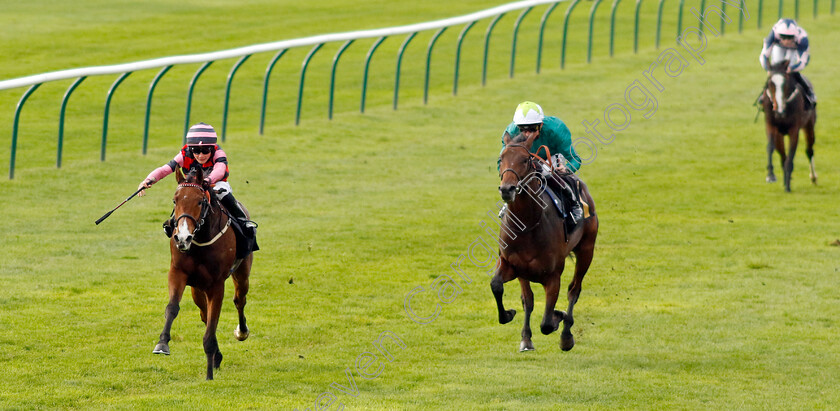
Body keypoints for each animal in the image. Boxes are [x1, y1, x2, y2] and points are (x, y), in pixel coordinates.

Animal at [153, 167, 253, 380]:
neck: (199, 240)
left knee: (239, 300)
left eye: (200, 201)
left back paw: (241, 332)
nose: (182, 237)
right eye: (175, 200)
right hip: (197, 289)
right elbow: (172, 308)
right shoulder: (178, 273)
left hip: (242, 272)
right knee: (203, 313)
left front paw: (209, 374)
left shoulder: (216, 285)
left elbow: (212, 324)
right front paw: (162, 344)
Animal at [492, 131, 596, 350]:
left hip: (586, 250)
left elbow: (547, 323)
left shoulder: (553, 276)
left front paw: (559, 317)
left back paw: (566, 335)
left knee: (574, 290)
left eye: (525, 159)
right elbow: (501, 288)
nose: (507, 189)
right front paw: (513, 320)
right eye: (500, 159)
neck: (527, 226)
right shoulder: (512, 265)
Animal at [764, 60, 816, 192]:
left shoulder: (794, 130)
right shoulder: (771, 125)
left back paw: (813, 177)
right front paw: (771, 175)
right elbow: (770, 148)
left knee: (809, 150)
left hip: (809, 125)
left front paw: (788, 186)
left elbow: (791, 154)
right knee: (783, 155)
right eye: (770, 83)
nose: (779, 111)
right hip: (779, 134)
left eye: (785, 83)